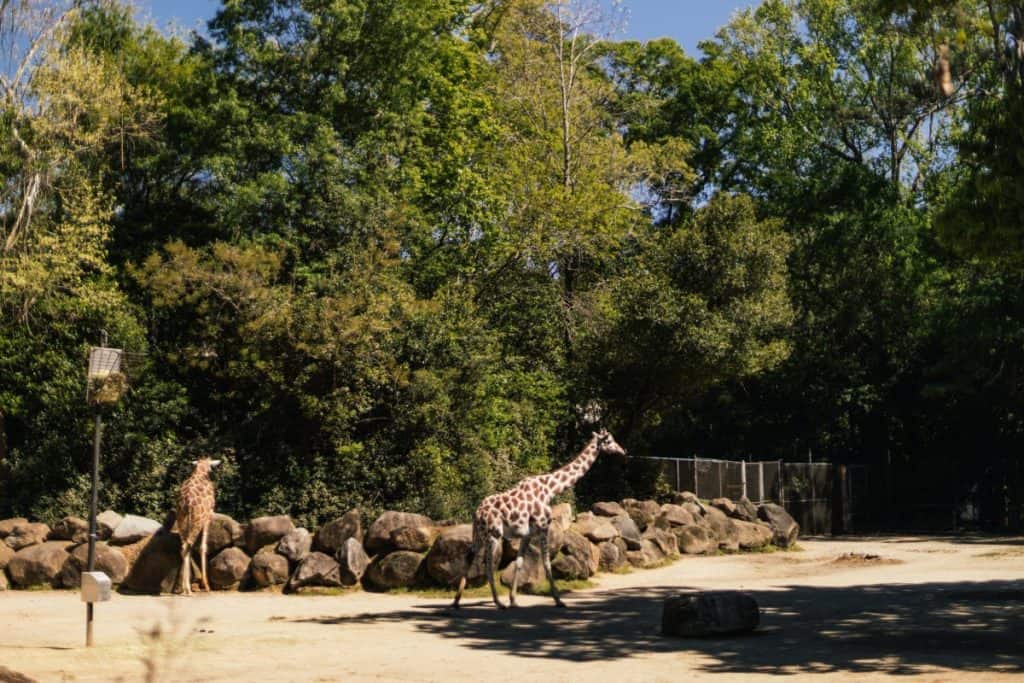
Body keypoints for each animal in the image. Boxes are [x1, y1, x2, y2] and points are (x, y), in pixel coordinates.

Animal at [176, 456, 220, 593]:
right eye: (211, 467)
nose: (212, 472)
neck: (200, 471)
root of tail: (187, 503)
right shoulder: (208, 516)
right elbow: (203, 547)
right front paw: (206, 585)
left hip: (181, 520)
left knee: (184, 546)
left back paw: (184, 588)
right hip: (197, 520)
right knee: (187, 545)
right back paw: (188, 590)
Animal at [454, 430, 626, 610]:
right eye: (609, 440)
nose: (622, 451)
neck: (551, 489)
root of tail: (477, 513)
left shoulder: (527, 534)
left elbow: (519, 563)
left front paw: (514, 600)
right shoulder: (543, 526)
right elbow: (546, 563)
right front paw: (558, 600)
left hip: (479, 534)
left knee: (469, 556)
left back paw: (457, 601)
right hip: (493, 534)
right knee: (488, 566)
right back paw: (498, 603)